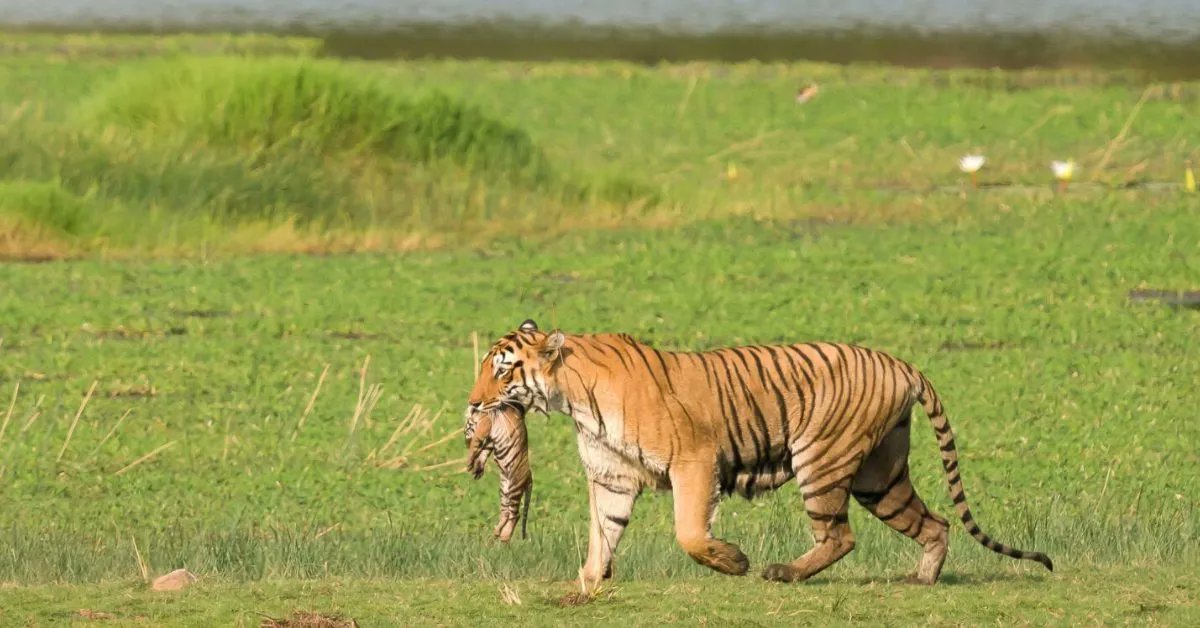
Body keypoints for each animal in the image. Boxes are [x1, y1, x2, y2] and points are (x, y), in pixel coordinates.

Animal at [463, 319, 1052, 593]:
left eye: (502, 369)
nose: (472, 403)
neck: (573, 398)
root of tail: (902, 364)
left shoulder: (694, 461)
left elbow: (689, 533)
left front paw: (733, 561)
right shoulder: (611, 476)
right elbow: (602, 532)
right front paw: (585, 584)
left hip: (822, 461)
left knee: (840, 536)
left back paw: (782, 573)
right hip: (879, 477)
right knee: (935, 523)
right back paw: (922, 579)